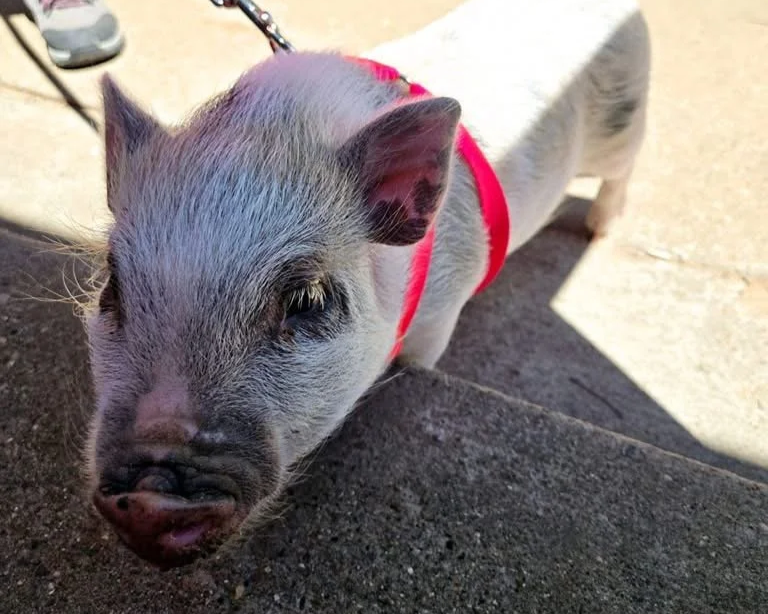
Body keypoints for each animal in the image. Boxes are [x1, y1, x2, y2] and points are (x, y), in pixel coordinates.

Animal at [85, 0, 650, 568]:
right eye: (113, 286)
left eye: (308, 300)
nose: (148, 500)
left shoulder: (440, 320)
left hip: (624, 125)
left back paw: (600, 228)